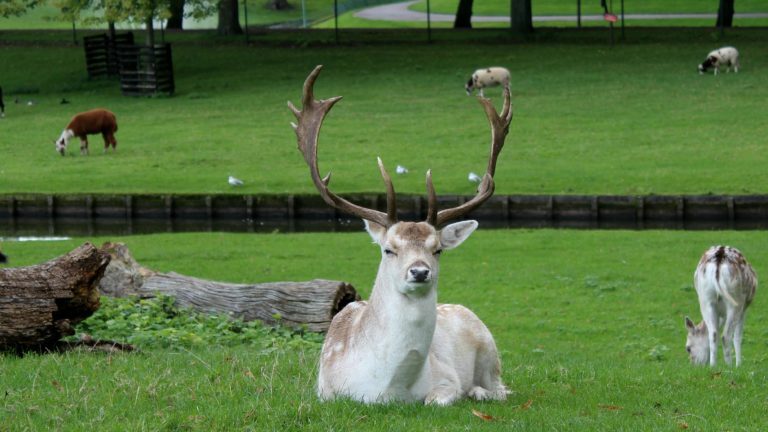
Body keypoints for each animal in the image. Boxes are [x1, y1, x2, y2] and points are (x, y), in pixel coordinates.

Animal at [292, 66, 512, 406]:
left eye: (437, 249)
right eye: (388, 249)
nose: (419, 271)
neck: (388, 389)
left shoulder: (447, 378)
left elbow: (438, 399)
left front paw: (464, 393)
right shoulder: (325, 390)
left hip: (490, 350)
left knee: (502, 389)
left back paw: (479, 391)